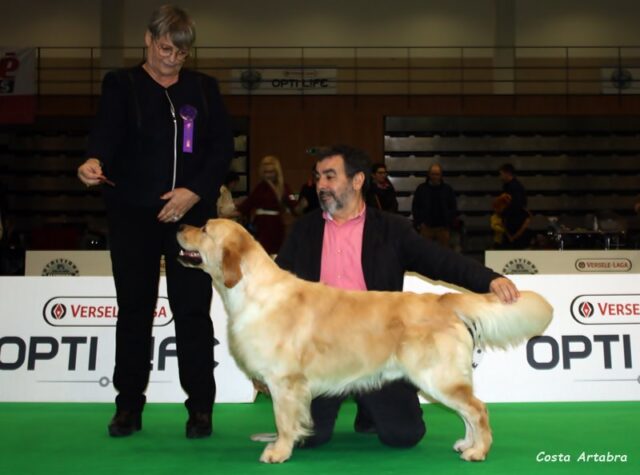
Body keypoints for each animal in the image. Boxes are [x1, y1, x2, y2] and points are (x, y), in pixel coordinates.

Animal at [178, 219, 552, 464]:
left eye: (205, 229)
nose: (180, 227)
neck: (250, 290)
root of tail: (443, 299)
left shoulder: (284, 381)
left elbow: (283, 421)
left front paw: (278, 452)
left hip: (438, 377)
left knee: (477, 409)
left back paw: (478, 451)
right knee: (469, 411)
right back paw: (466, 444)